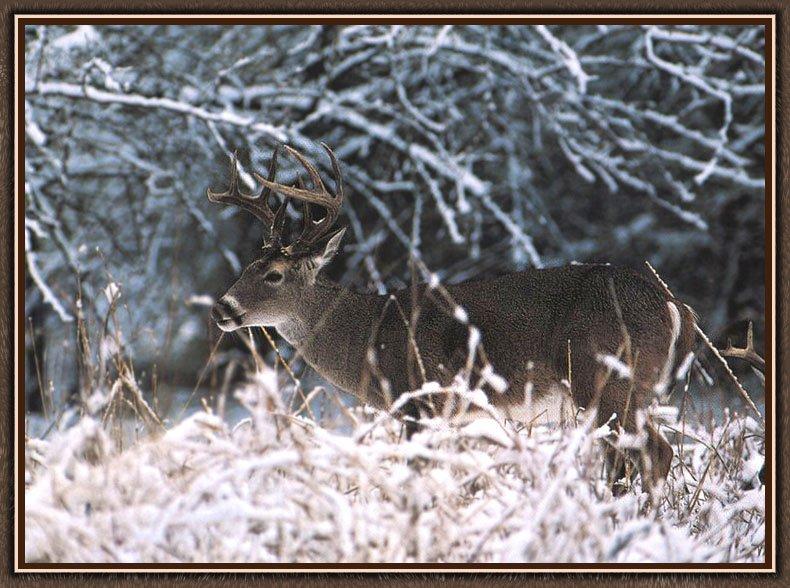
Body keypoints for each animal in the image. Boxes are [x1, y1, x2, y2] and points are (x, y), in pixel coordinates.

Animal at [209, 145, 700, 494]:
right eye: (247, 266)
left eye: (273, 274)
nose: (222, 308)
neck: (369, 334)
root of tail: (673, 305)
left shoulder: (419, 398)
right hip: (630, 388)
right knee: (632, 458)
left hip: (605, 376)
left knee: (653, 453)